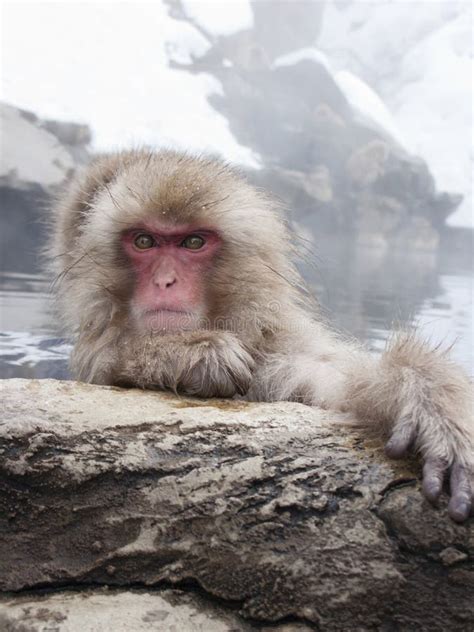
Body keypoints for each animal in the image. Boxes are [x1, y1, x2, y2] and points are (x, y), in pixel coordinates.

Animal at [50, 149, 472, 524]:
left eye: (193, 242)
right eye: (144, 241)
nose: (165, 281)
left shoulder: (276, 352)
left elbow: (338, 384)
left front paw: (428, 400)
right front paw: (193, 352)